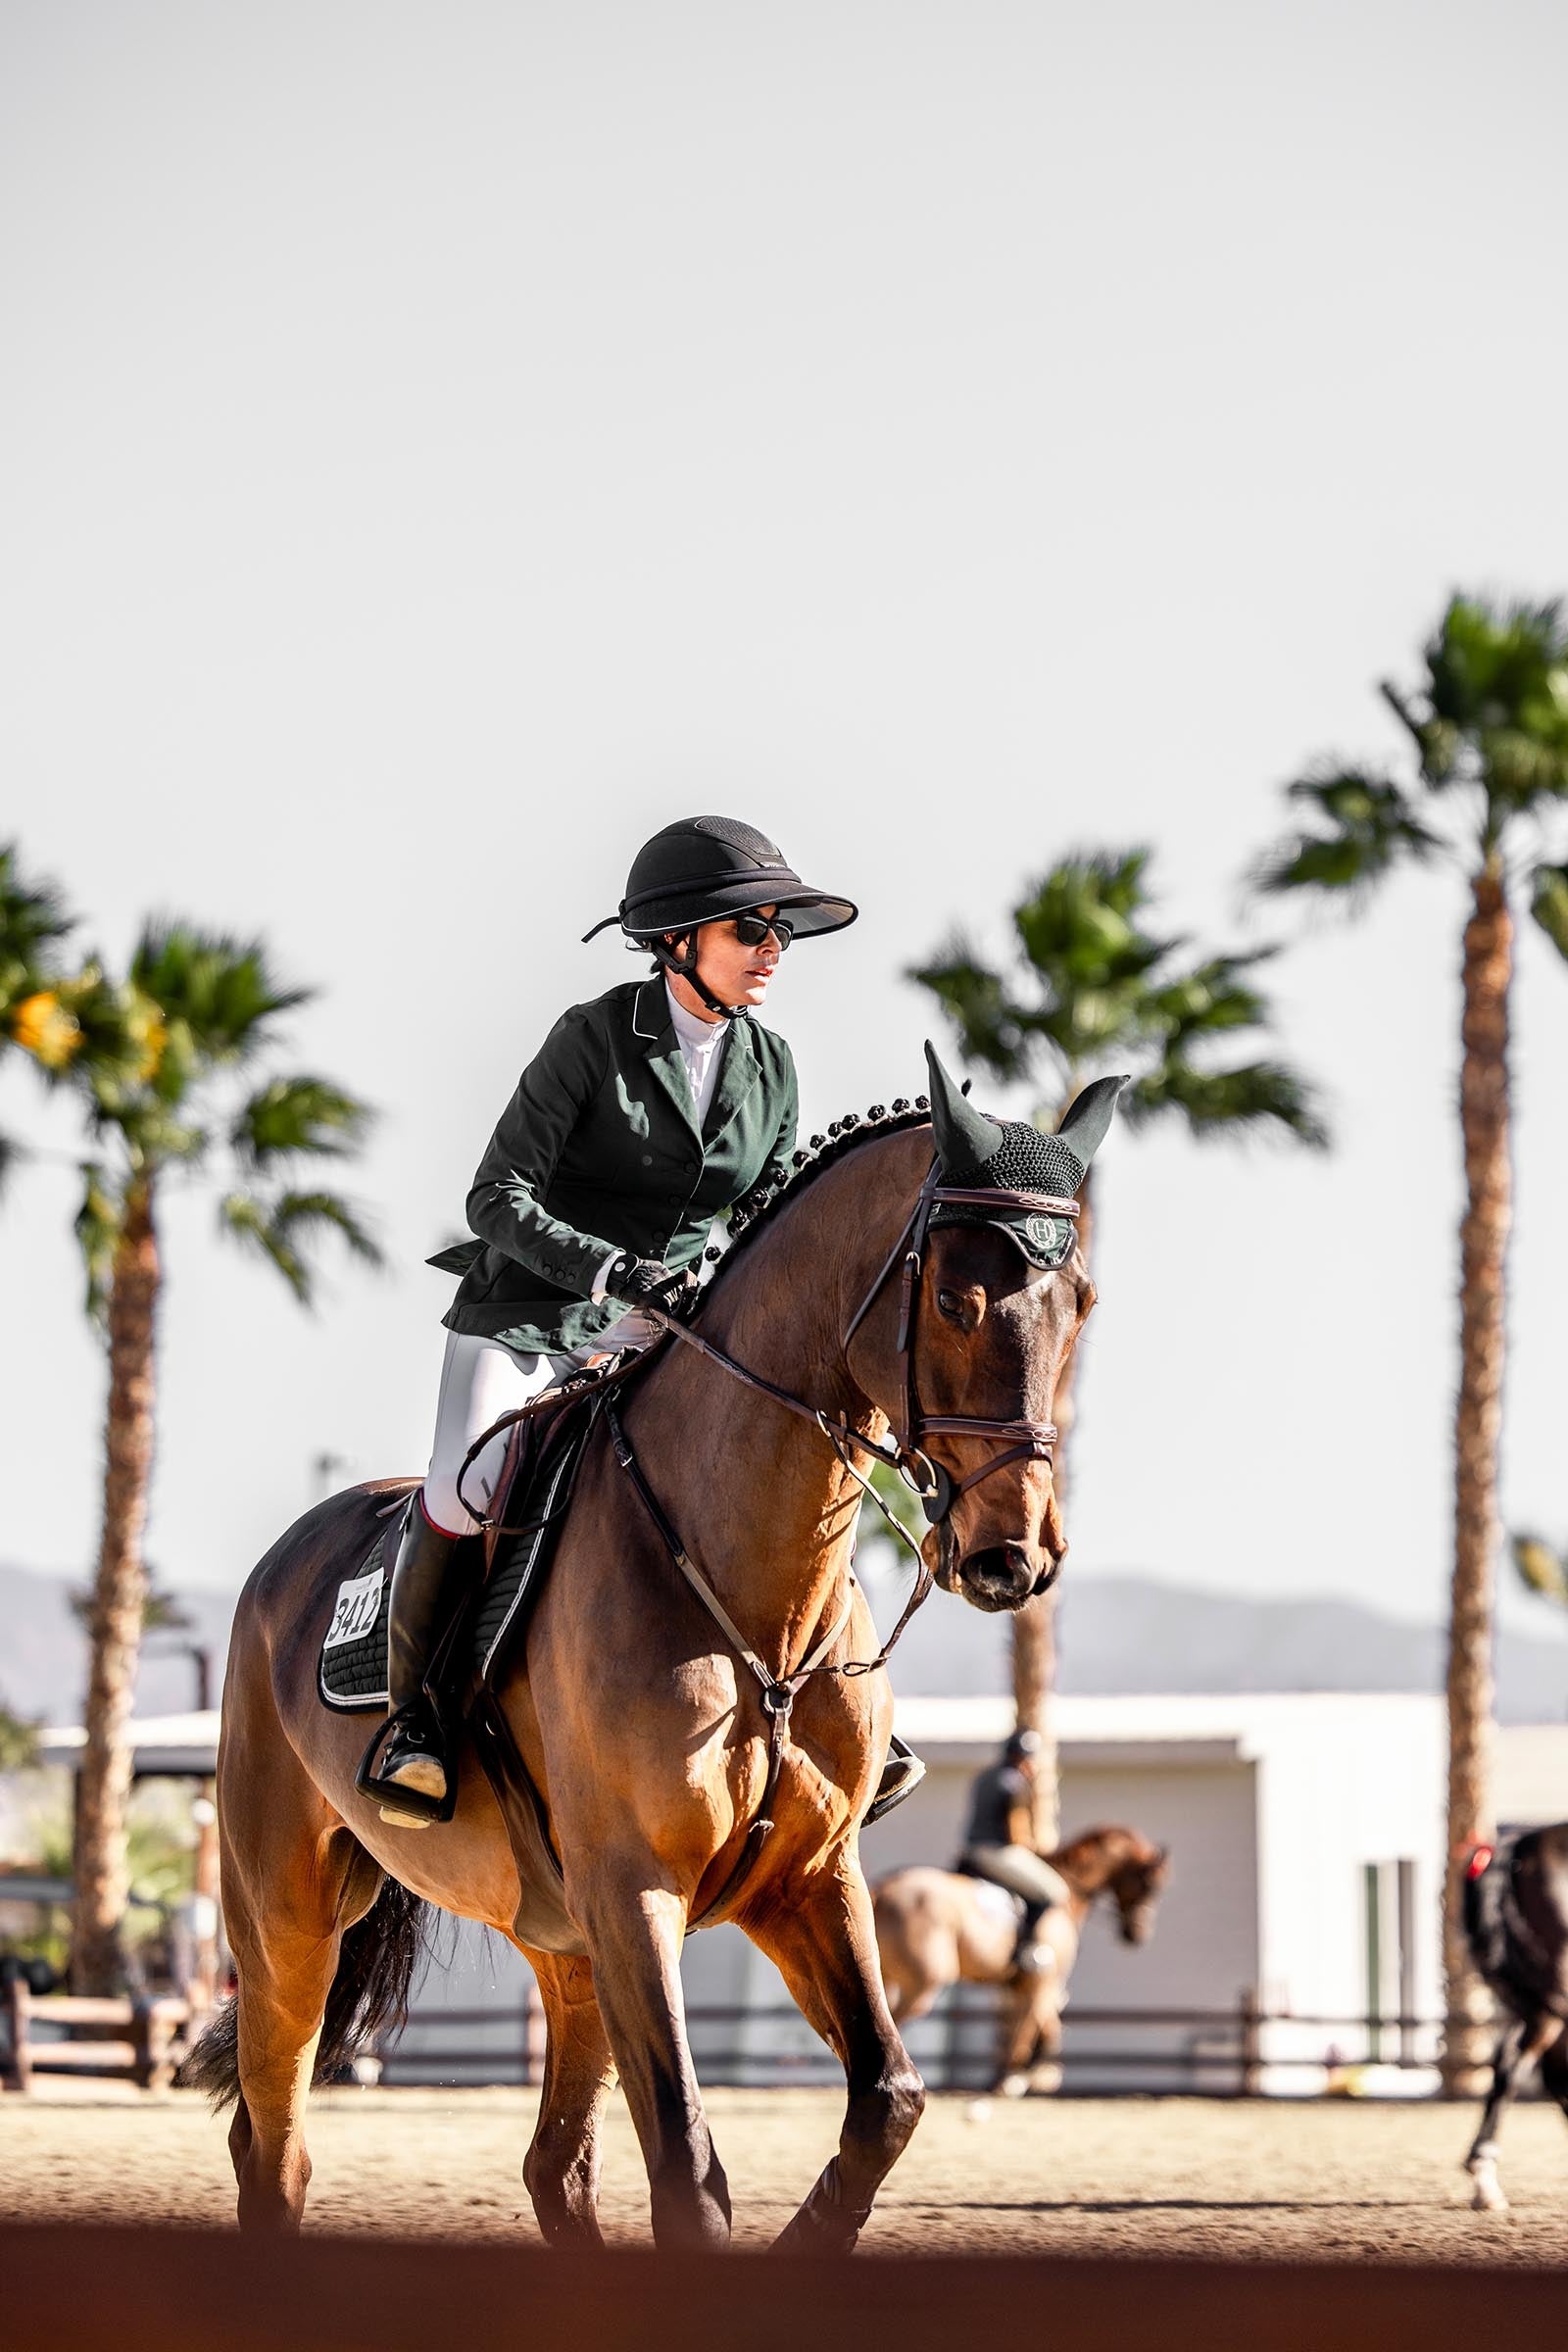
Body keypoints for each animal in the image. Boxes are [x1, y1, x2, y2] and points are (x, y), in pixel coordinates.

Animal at [184, 1051, 1125, 2250]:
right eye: (955, 1302)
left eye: (1081, 1303)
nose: (1016, 1557)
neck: (755, 1599)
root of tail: (288, 1555)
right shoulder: (637, 1894)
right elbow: (685, 2161)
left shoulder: (807, 1882)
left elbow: (889, 2099)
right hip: (289, 1920)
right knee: (278, 2148)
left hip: (562, 1941)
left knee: (554, 2167)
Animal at [872, 1825, 1169, 2097]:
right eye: (1150, 1884)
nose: (1137, 1934)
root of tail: (883, 1889)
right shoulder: (1042, 1983)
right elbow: (1027, 2031)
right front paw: (1013, 2079)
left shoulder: (1023, 1986)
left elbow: (1038, 2028)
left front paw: (1030, 2072)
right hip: (922, 1985)